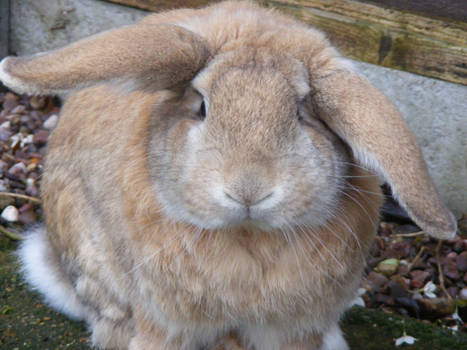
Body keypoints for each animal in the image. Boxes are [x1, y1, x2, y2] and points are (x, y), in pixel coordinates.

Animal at [0, 0, 458, 350]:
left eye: (302, 113)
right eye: (201, 106)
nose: (248, 190)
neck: (247, 237)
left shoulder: (295, 327)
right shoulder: (163, 319)